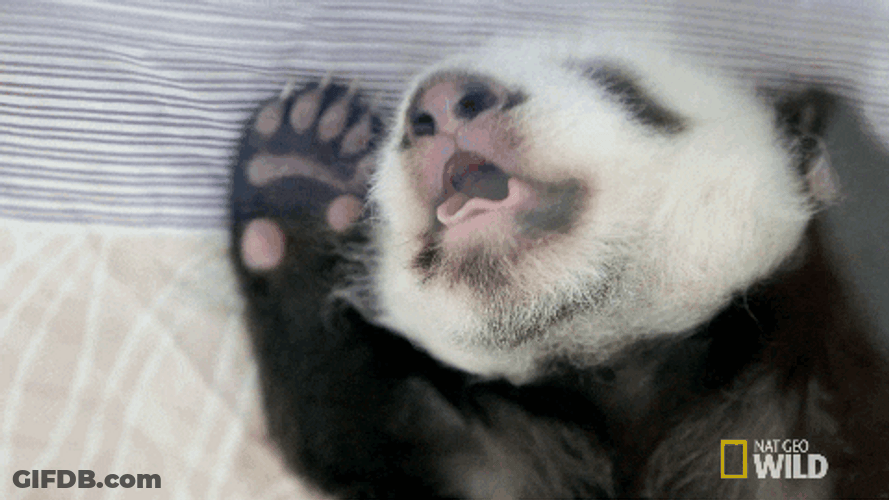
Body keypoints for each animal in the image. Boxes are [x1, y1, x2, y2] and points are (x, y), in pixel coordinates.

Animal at [230, 34, 889, 499]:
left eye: (618, 86)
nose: (445, 101)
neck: (621, 362)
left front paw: (833, 151)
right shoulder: (501, 451)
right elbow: (352, 419)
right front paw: (301, 174)